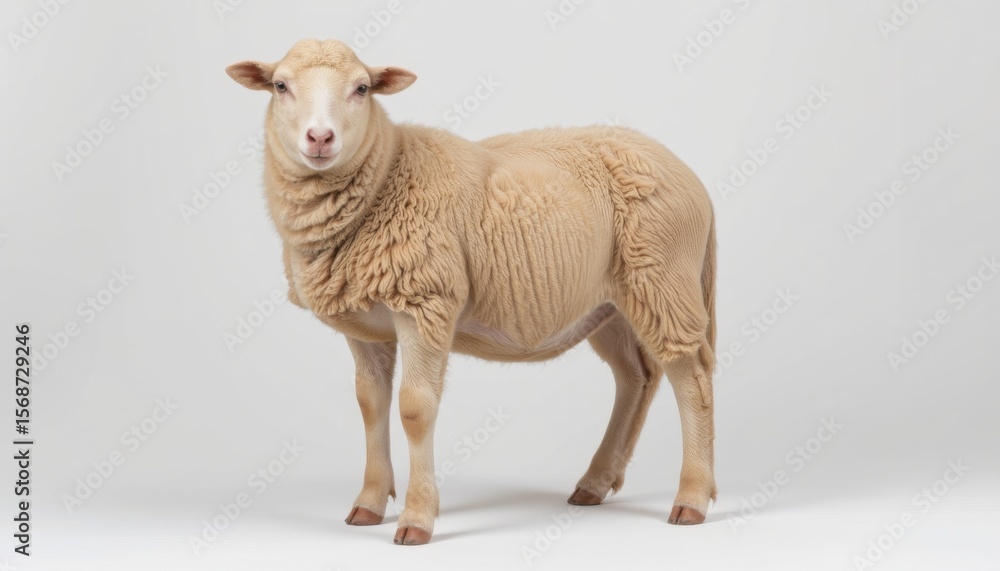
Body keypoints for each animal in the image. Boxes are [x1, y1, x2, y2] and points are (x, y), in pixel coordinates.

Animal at [226, 39, 717, 546]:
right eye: (280, 85)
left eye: (362, 88)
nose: (320, 138)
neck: (386, 175)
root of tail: (690, 177)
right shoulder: (365, 326)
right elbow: (370, 405)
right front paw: (368, 504)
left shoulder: (425, 302)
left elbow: (415, 409)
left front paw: (417, 519)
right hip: (612, 302)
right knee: (636, 376)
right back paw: (595, 483)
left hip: (663, 276)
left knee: (692, 379)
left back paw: (691, 498)